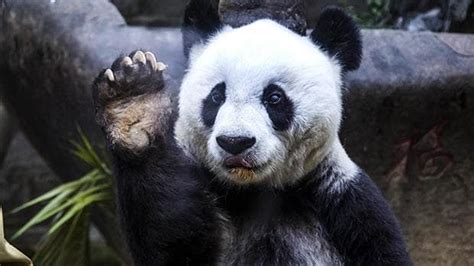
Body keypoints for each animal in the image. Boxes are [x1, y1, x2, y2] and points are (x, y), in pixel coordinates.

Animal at [91, 1, 412, 264]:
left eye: (275, 98)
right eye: (216, 96)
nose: (235, 142)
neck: (252, 190)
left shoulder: (342, 202)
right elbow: (171, 239)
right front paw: (134, 99)